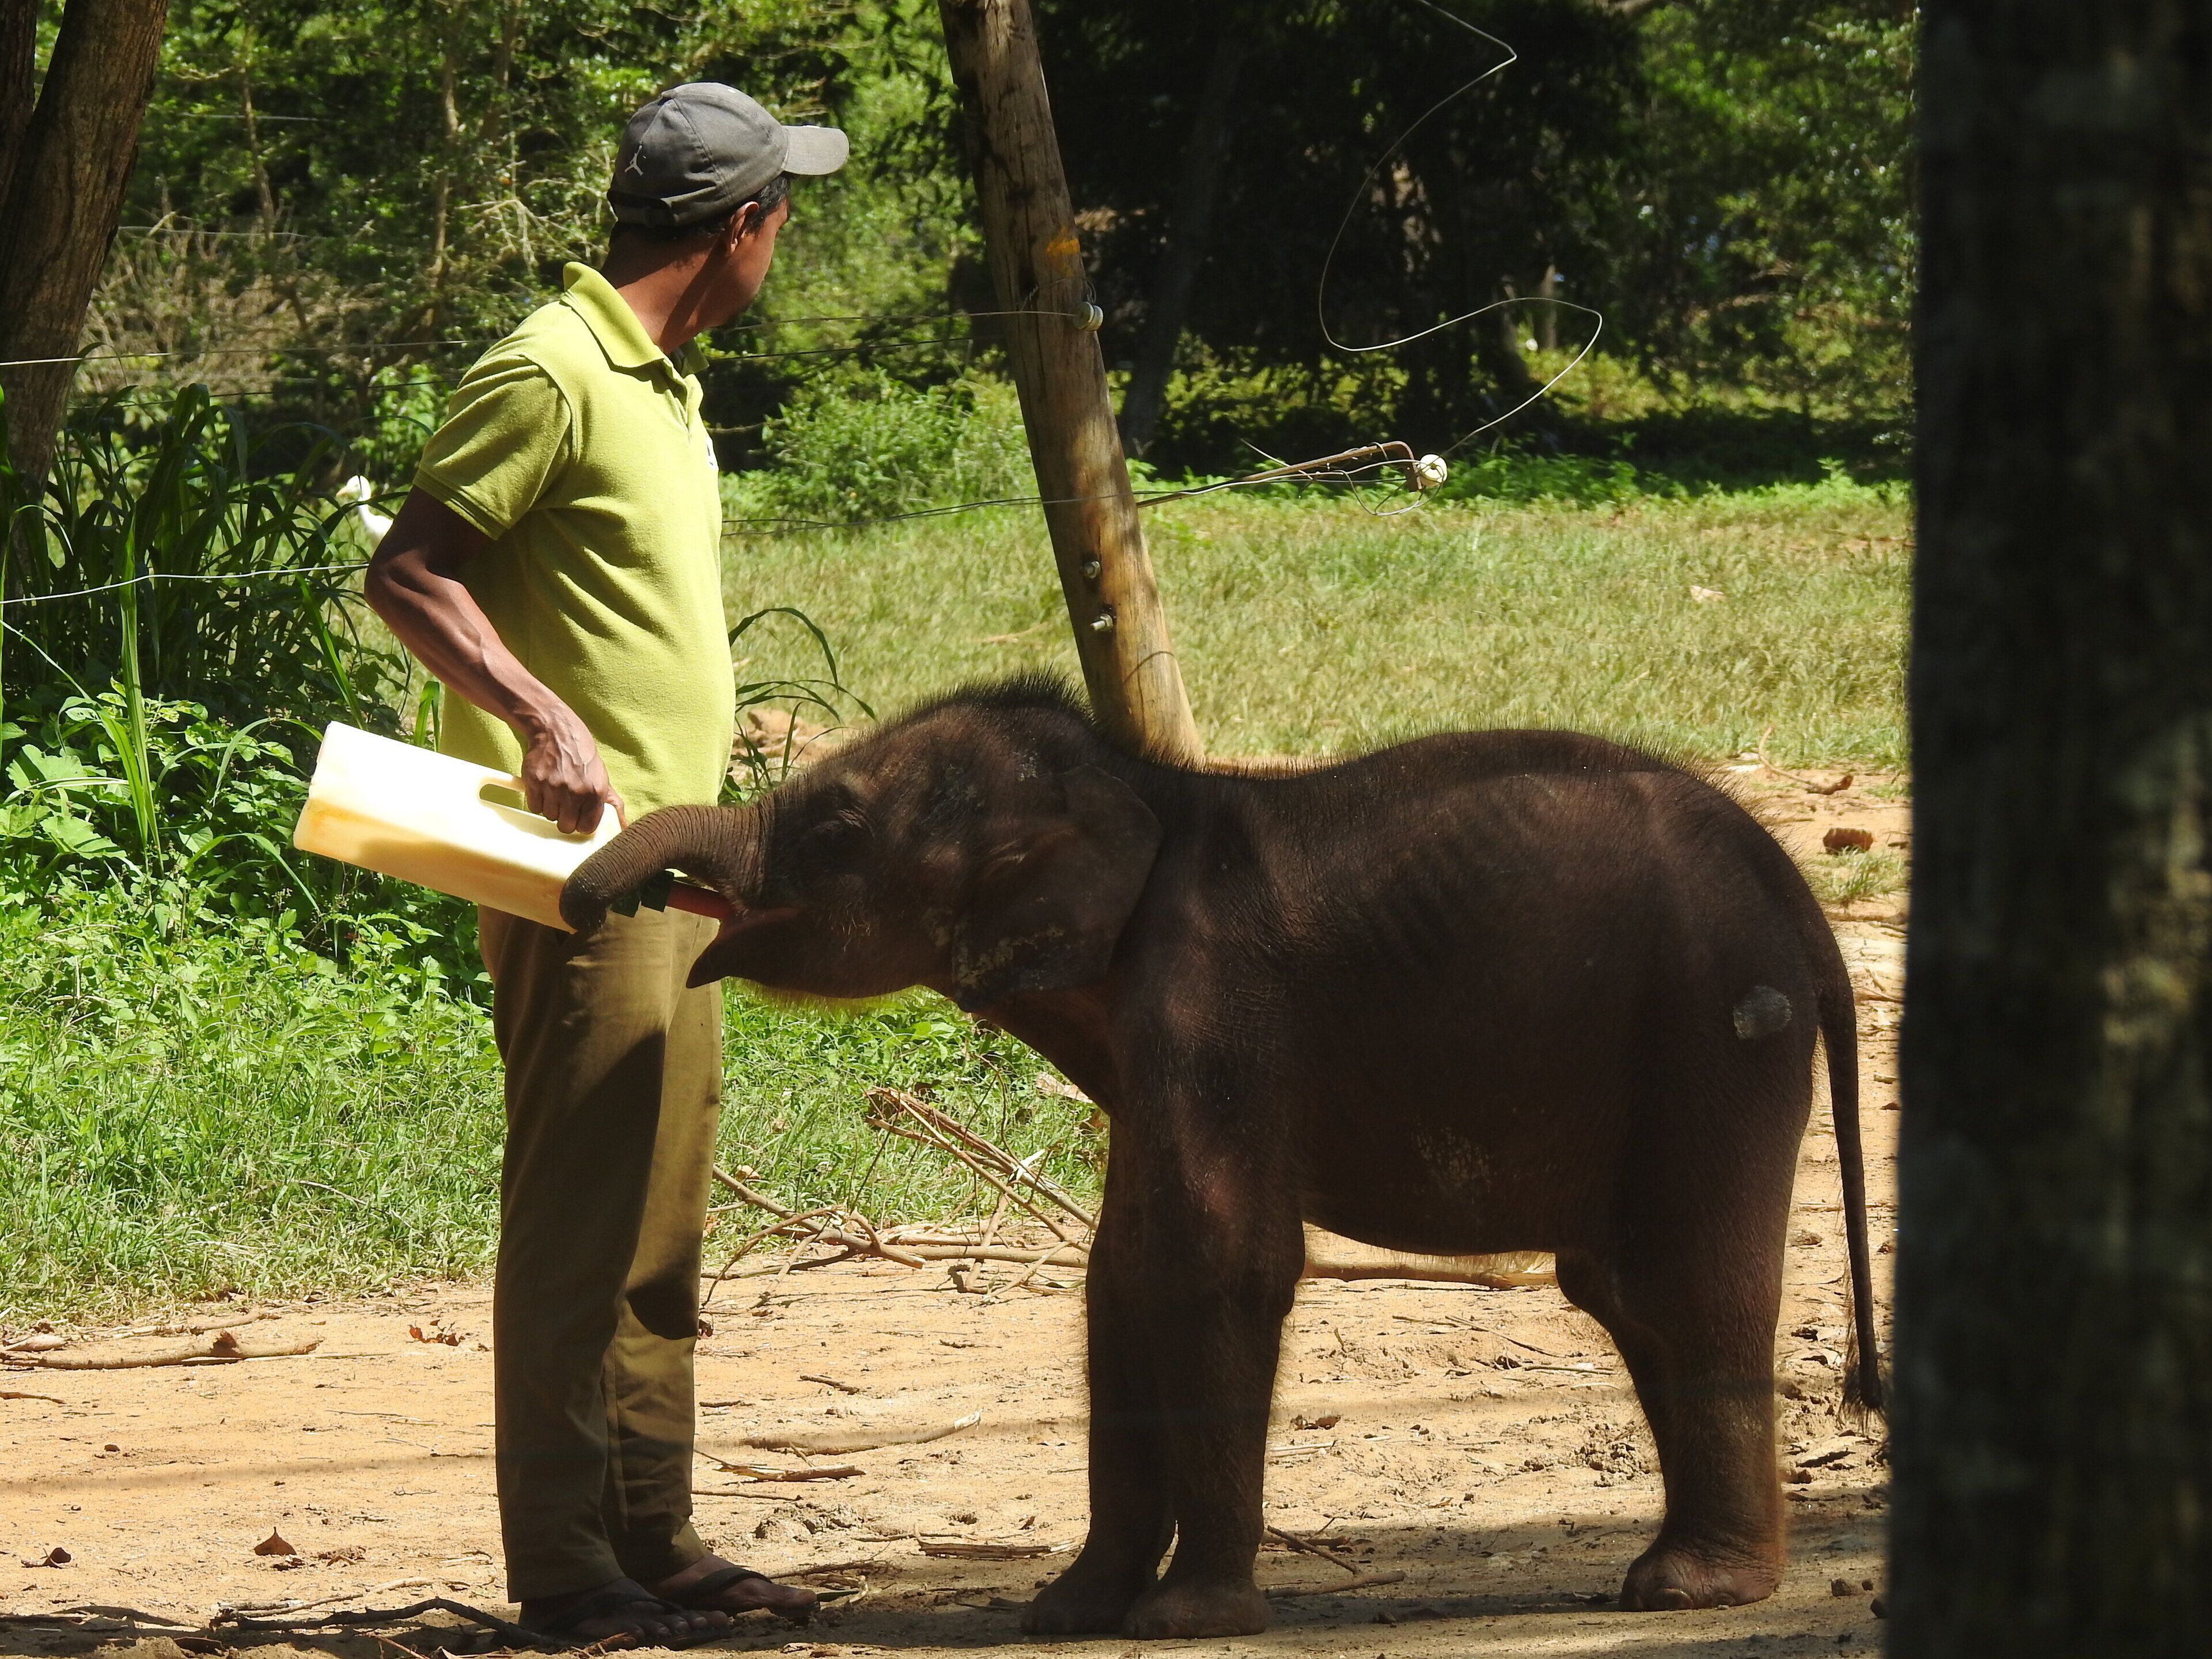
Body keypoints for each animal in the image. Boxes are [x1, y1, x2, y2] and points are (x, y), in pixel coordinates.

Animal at [560, 675, 1883, 1640]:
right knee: (1627, 1293)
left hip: (1714, 1027)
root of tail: (1809, 911)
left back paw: (1691, 1593)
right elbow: (1121, 1280)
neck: (1147, 794)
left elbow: (1212, 1263)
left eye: (837, 827)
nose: (587, 897)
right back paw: (1679, 1579)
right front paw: (1067, 1614)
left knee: (1673, 1285)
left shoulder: (1215, 1006)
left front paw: (1185, 1619)